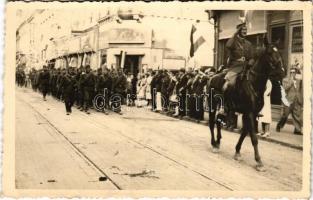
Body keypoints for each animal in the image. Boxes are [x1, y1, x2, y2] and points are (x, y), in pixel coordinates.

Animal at [207, 36, 286, 171]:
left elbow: (245, 133)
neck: (254, 84)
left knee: (218, 121)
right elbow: (253, 137)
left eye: (279, 52)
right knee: (212, 123)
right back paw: (213, 144)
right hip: (212, 105)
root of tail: (211, 77)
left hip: (226, 108)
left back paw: (218, 142)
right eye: (270, 53)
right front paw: (259, 161)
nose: (282, 72)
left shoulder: (251, 114)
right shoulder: (249, 113)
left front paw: (237, 152)